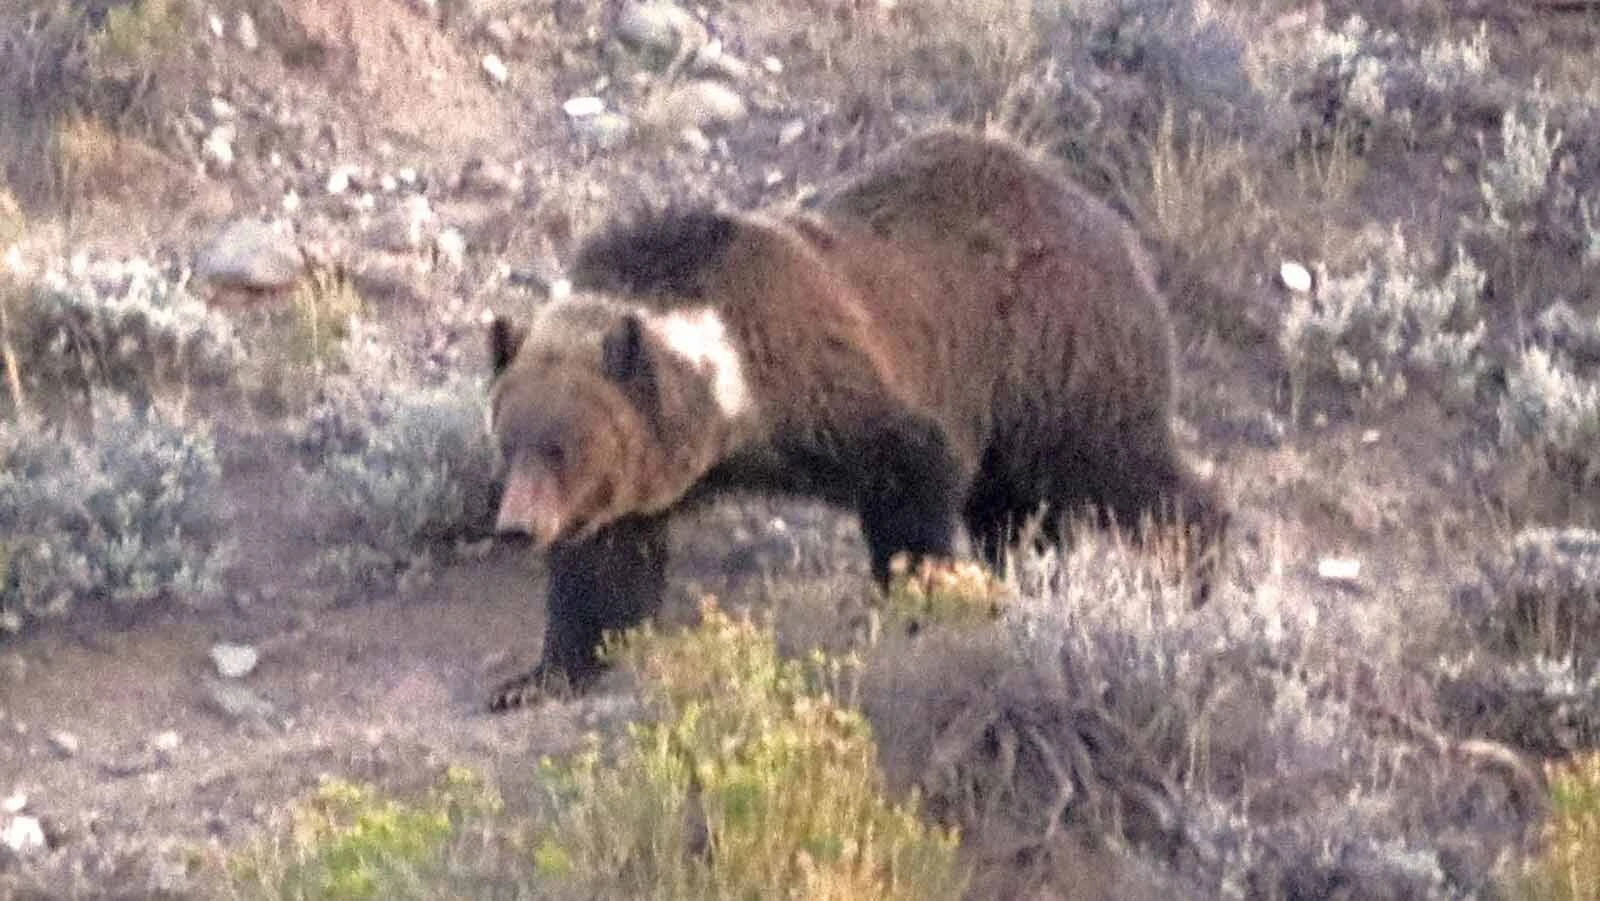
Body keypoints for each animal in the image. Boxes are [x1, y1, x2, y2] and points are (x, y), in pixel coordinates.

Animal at [483, 126, 1228, 711]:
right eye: (509, 442)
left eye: (561, 446)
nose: (518, 525)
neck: (732, 389)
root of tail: (1105, 217)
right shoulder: (646, 477)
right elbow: (604, 572)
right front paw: (537, 677)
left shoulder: (830, 380)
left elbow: (910, 476)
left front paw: (925, 603)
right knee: (1017, 513)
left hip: (1054, 353)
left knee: (1115, 466)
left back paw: (1193, 566)